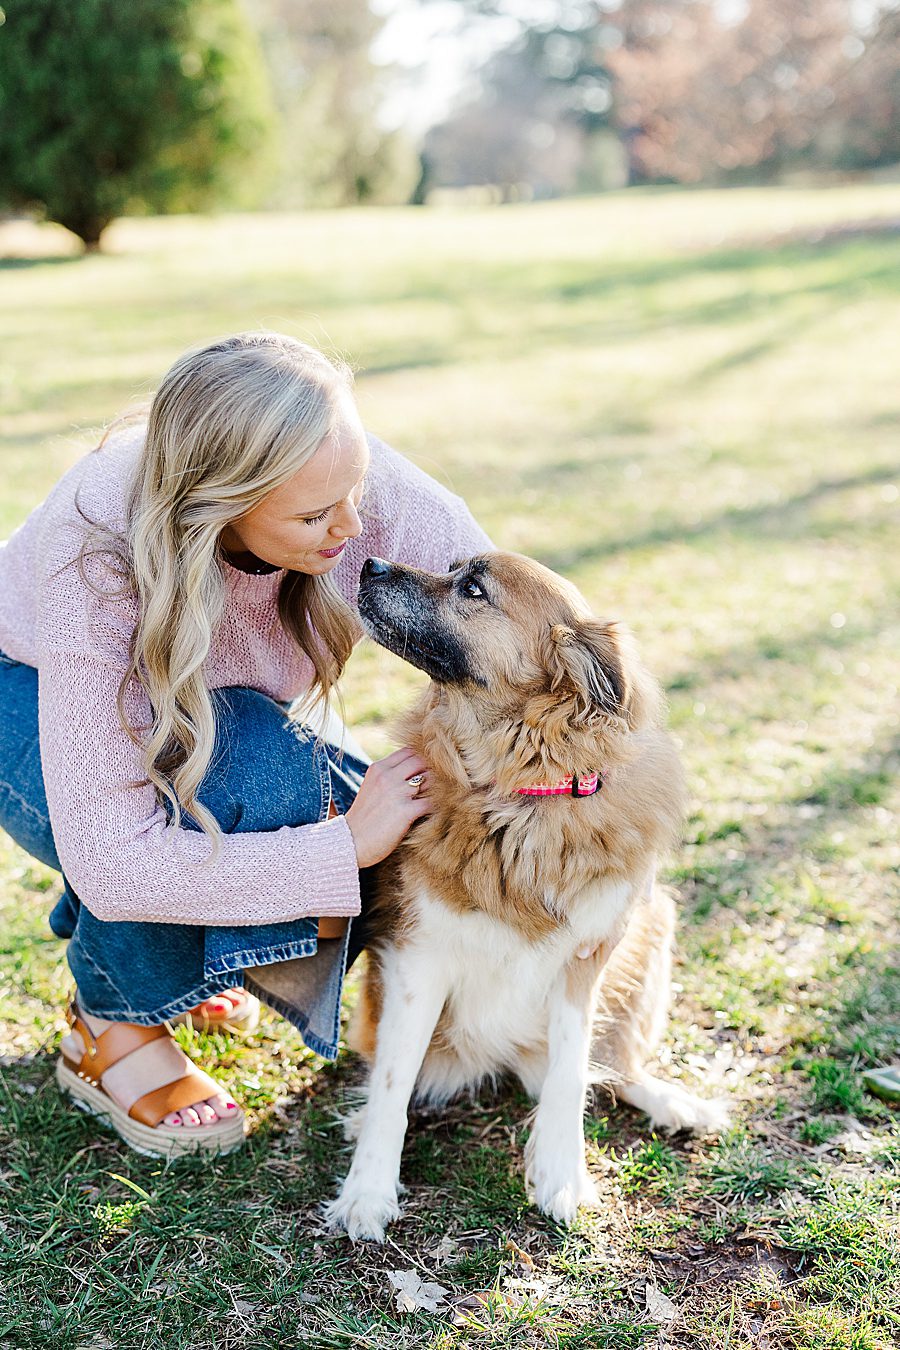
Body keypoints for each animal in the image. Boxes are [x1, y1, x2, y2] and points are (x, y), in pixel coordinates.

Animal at [327, 553, 728, 1236]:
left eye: (472, 587)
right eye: (453, 566)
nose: (369, 562)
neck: (518, 792)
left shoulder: (584, 960)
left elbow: (572, 1074)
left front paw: (562, 1175)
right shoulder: (418, 961)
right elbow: (392, 1086)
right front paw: (368, 1190)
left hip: (655, 924)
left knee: (609, 1070)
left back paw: (671, 1100)